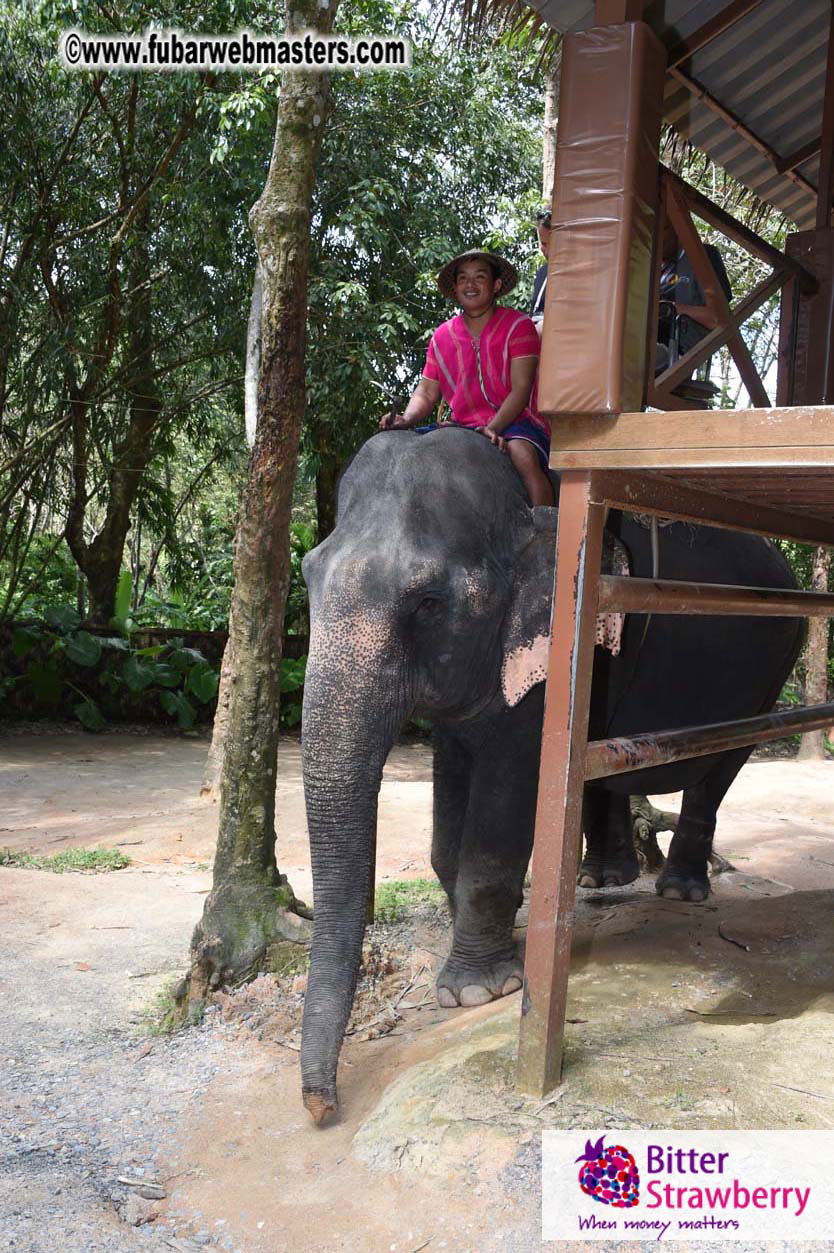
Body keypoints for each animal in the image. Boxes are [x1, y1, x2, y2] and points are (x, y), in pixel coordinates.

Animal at [299, 426, 803, 1122]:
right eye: (305, 577)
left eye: (428, 602)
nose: (322, 1108)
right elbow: (447, 821)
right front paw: (504, 945)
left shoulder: (549, 648)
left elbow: (503, 807)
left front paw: (480, 991)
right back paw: (602, 878)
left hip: (774, 662)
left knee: (717, 768)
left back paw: (679, 891)